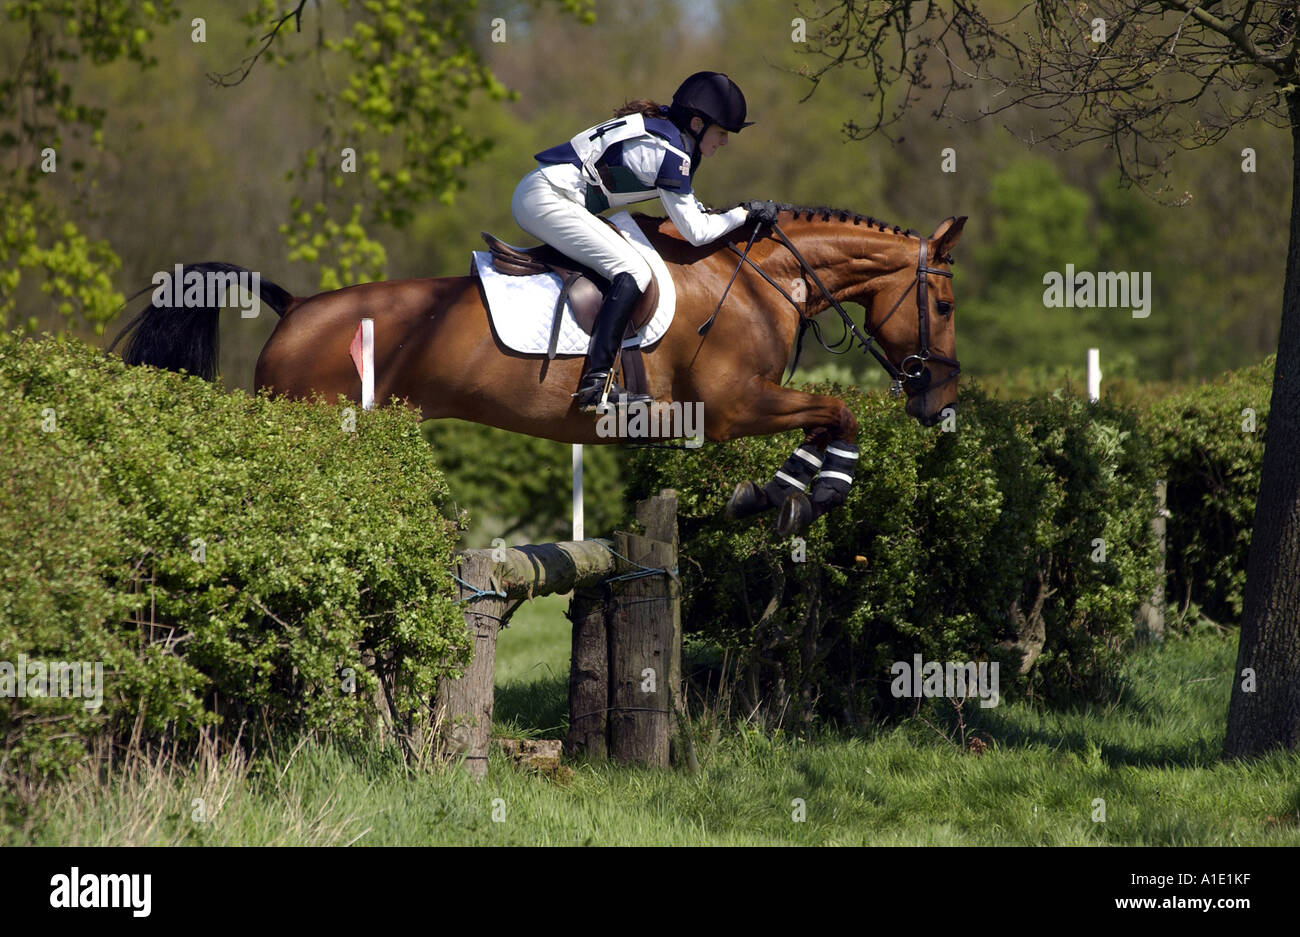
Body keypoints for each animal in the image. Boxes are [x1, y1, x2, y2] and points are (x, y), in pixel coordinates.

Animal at [112, 205, 966, 536]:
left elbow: (826, 418)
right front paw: (803, 495)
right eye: (946, 303)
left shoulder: (745, 404)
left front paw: (781, 495)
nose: (941, 401)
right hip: (318, 434)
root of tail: (293, 309)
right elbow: (837, 412)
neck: (757, 278)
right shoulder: (732, 406)